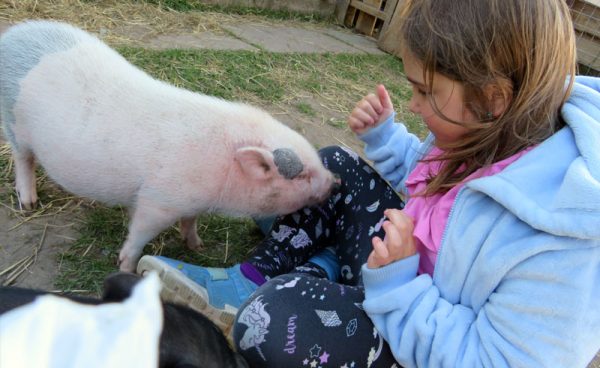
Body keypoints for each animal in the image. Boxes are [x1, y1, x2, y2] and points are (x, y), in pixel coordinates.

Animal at [0, 21, 338, 272]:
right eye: (301, 174)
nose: (336, 182)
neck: (223, 169)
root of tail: (12, 34)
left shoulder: (192, 203)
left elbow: (190, 222)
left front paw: (197, 246)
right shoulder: (158, 200)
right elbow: (139, 234)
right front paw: (126, 267)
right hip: (14, 124)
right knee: (22, 159)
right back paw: (29, 203)